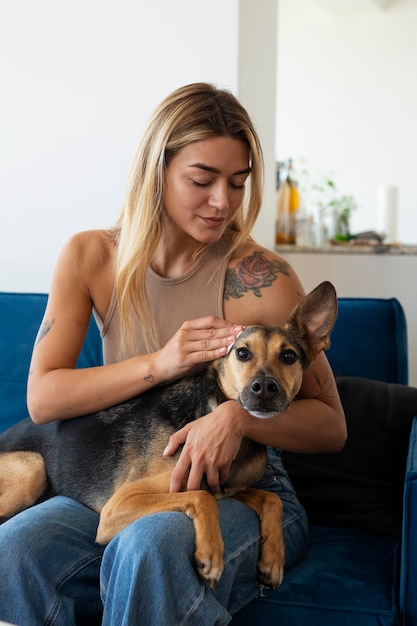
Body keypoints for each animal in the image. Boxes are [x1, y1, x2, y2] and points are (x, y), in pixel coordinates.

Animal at [0, 280, 338, 588]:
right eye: (242, 353)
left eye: (289, 357)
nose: (265, 387)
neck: (210, 408)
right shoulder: (118, 504)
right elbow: (201, 496)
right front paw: (211, 554)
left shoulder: (231, 487)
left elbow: (271, 499)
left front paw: (273, 559)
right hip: (33, 468)